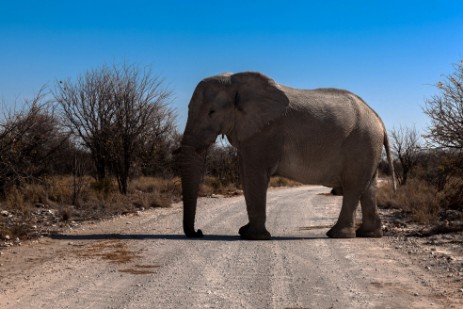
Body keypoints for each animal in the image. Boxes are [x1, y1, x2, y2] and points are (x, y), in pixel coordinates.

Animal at [176, 71, 396, 239]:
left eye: (212, 112)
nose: (199, 232)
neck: (236, 80)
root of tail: (378, 118)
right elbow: (247, 175)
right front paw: (245, 232)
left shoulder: (265, 133)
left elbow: (254, 175)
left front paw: (253, 237)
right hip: (369, 146)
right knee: (369, 187)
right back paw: (368, 234)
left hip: (361, 143)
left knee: (353, 187)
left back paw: (337, 234)